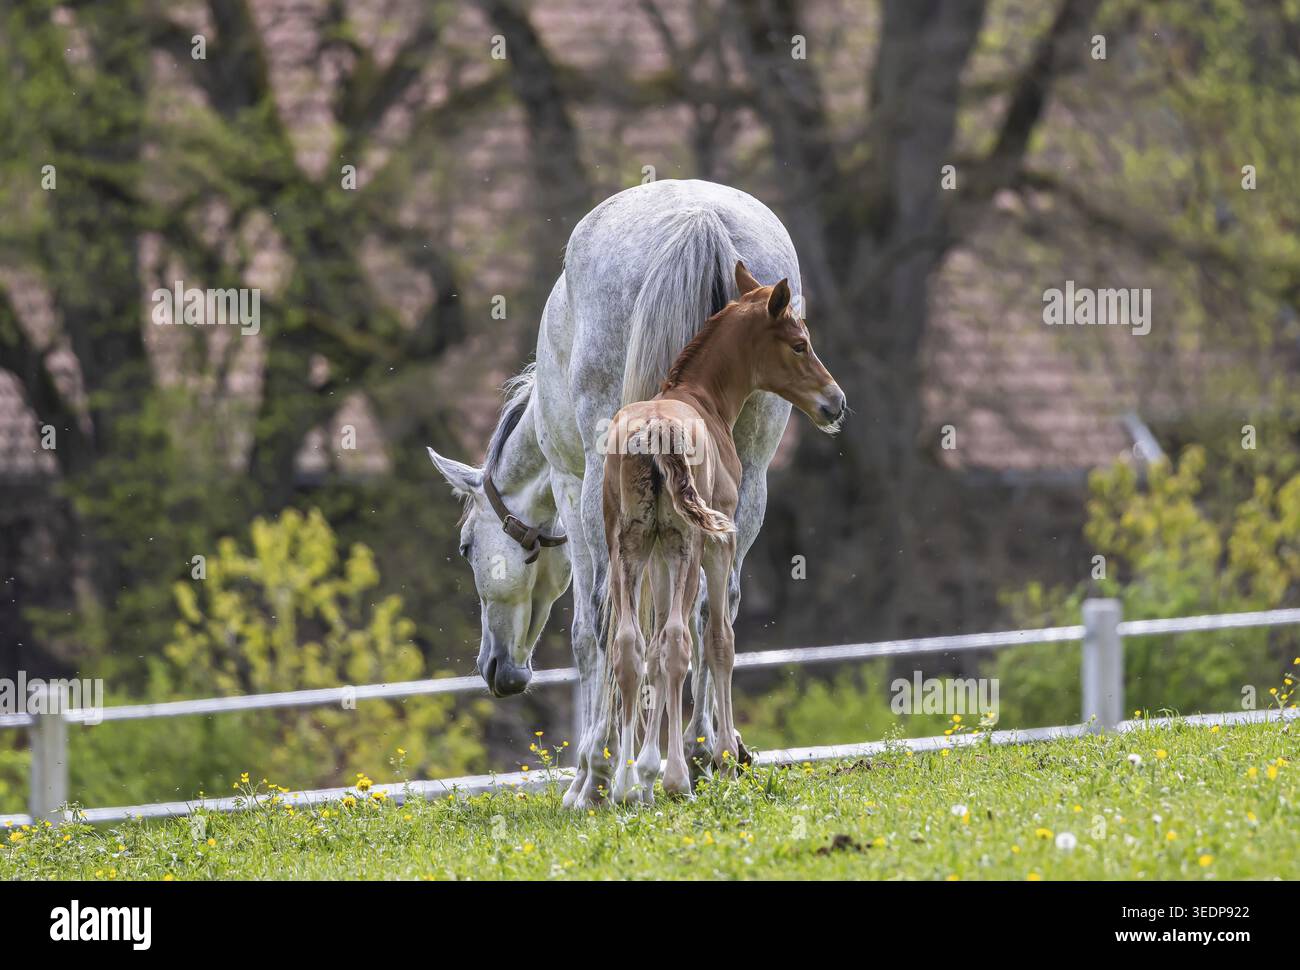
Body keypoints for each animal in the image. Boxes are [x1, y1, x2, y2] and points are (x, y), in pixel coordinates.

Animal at [427, 180, 803, 809]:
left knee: (611, 616)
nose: (498, 669)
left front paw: (599, 770)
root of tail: (702, 219)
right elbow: (670, 622)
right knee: (713, 611)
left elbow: (593, 630)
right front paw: (667, 753)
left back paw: (602, 775)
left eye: (465, 548)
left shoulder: (572, 483)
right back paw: (708, 751)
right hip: (745, 486)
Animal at [602, 262, 846, 804]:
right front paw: (725, 757)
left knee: (630, 645)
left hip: (628, 546)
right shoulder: (720, 540)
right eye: (800, 343)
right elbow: (719, 640)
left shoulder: (657, 551)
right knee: (679, 641)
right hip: (691, 543)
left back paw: (626, 786)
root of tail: (656, 433)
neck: (700, 399)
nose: (836, 402)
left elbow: (651, 649)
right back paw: (677, 779)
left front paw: (644, 771)